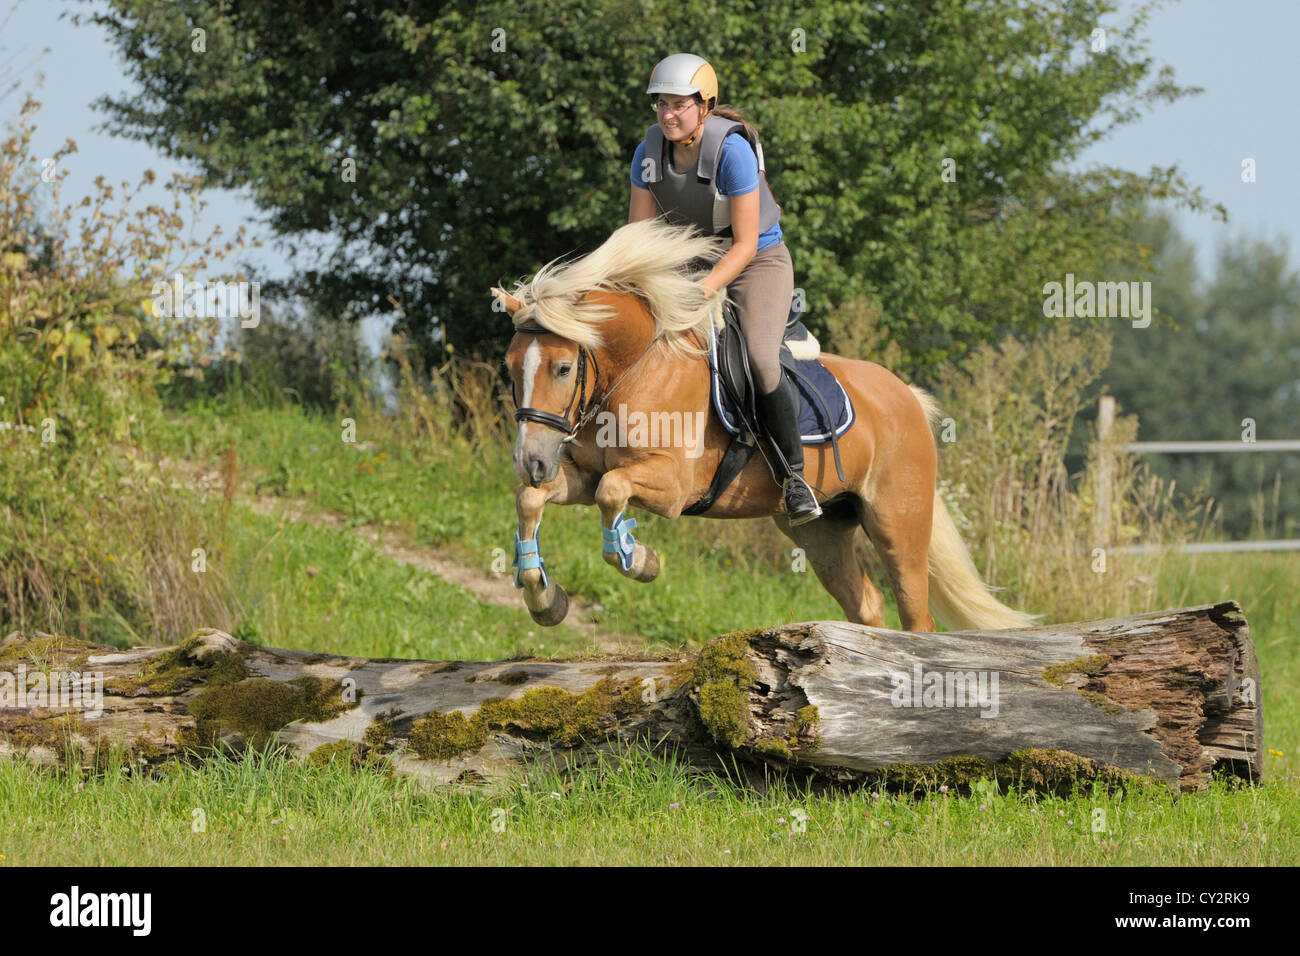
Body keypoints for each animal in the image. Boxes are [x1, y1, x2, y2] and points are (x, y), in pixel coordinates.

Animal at [493, 218, 1038, 634]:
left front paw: (640, 559)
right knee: (866, 602)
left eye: (563, 368)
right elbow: (532, 499)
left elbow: (612, 491)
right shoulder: (581, 475)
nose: (531, 460)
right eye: (511, 365)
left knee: (916, 613)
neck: (639, 370)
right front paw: (545, 600)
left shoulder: (671, 487)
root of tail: (908, 397)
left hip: (897, 522)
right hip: (822, 532)